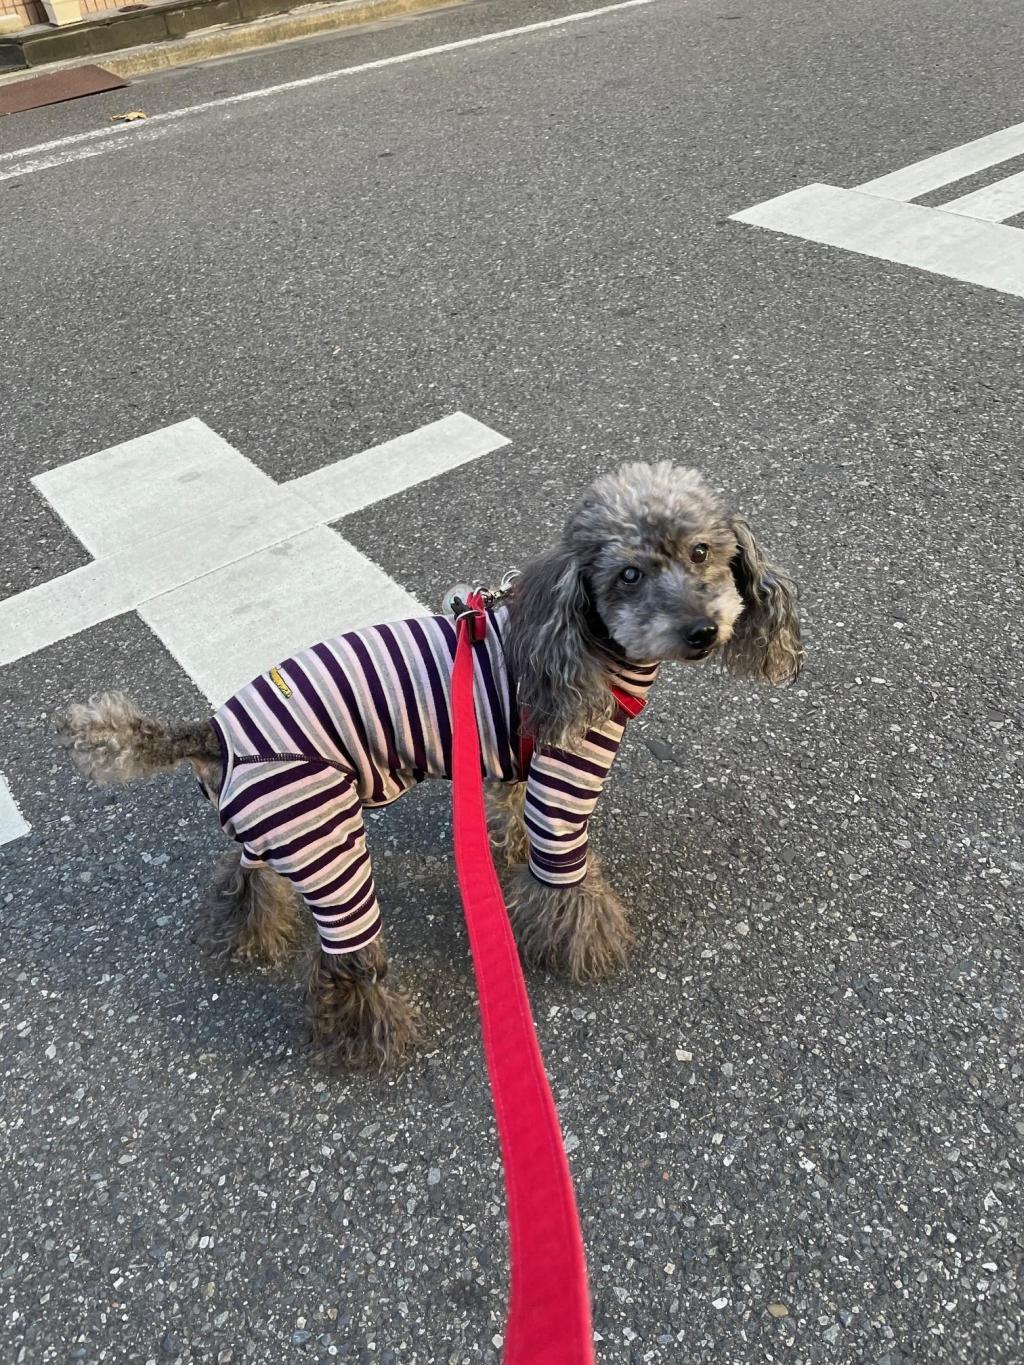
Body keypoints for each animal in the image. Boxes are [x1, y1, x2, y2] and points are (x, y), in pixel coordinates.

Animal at [60, 464, 808, 1070]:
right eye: (628, 574)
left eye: (701, 551)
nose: (703, 632)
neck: (581, 643)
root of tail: (215, 731)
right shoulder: (566, 778)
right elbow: (568, 883)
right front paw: (587, 948)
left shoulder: (511, 761)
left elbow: (509, 817)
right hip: (327, 842)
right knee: (347, 966)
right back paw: (370, 1039)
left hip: (271, 828)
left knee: (242, 880)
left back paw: (245, 937)